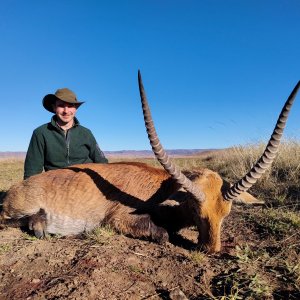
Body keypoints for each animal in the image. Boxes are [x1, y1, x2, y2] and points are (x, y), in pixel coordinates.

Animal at [0, 73, 298, 253]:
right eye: (196, 210)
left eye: (226, 213)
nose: (210, 249)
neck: (163, 190)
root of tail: (15, 189)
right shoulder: (118, 220)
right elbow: (163, 234)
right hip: (17, 211)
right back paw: (39, 225)